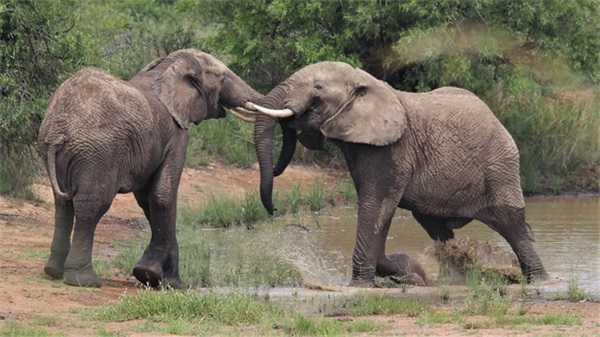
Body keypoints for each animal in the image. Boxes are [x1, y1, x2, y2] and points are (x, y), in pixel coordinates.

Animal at [38, 48, 260, 288]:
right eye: (222, 78)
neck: (167, 67)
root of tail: (58, 132)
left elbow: (147, 199)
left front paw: (156, 277)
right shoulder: (178, 135)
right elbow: (163, 195)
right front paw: (166, 281)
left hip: (57, 153)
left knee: (63, 205)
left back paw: (53, 271)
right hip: (97, 154)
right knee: (91, 206)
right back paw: (84, 281)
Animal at [247, 61, 548, 286]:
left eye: (318, 88)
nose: (273, 209)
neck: (365, 81)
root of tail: (497, 119)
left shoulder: (392, 149)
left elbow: (375, 206)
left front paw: (361, 284)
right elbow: (380, 210)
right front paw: (408, 271)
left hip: (500, 165)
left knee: (512, 224)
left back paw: (539, 280)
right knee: (437, 227)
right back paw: (452, 279)